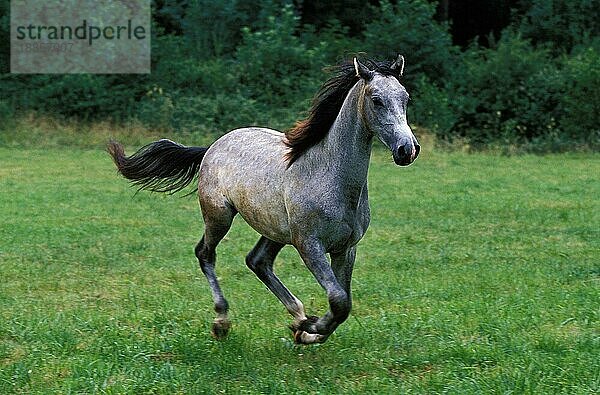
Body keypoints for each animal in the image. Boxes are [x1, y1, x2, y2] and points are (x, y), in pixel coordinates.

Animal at [106, 54, 418, 344]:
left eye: (405, 98)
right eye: (376, 100)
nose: (407, 149)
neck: (330, 177)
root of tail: (213, 146)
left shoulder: (346, 248)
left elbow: (343, 303)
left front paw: (306, 331)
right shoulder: (309, 245)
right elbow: (339, 301)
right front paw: (310, 328)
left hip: (274, 229)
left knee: (257, 261)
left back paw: (297, 316)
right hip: (219, 216)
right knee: (205, 253)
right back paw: (222, 322)